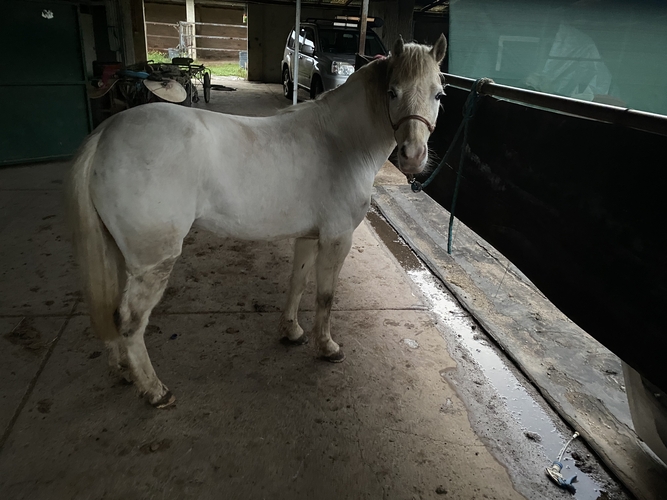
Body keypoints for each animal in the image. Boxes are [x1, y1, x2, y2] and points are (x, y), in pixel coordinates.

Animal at [66, 35, 447, 408]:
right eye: (392, 91)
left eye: (439, 94)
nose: (413, 157)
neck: (340, 141)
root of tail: (105, 136)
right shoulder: (337, 239)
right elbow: (325, 296)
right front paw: (327, 347)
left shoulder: (309, 237)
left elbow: (297, 283)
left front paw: (292, 332)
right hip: (152, 262)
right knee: (130, 322)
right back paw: (155, 391)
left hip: (119, 253)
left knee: (113, 313)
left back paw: (124, 371)